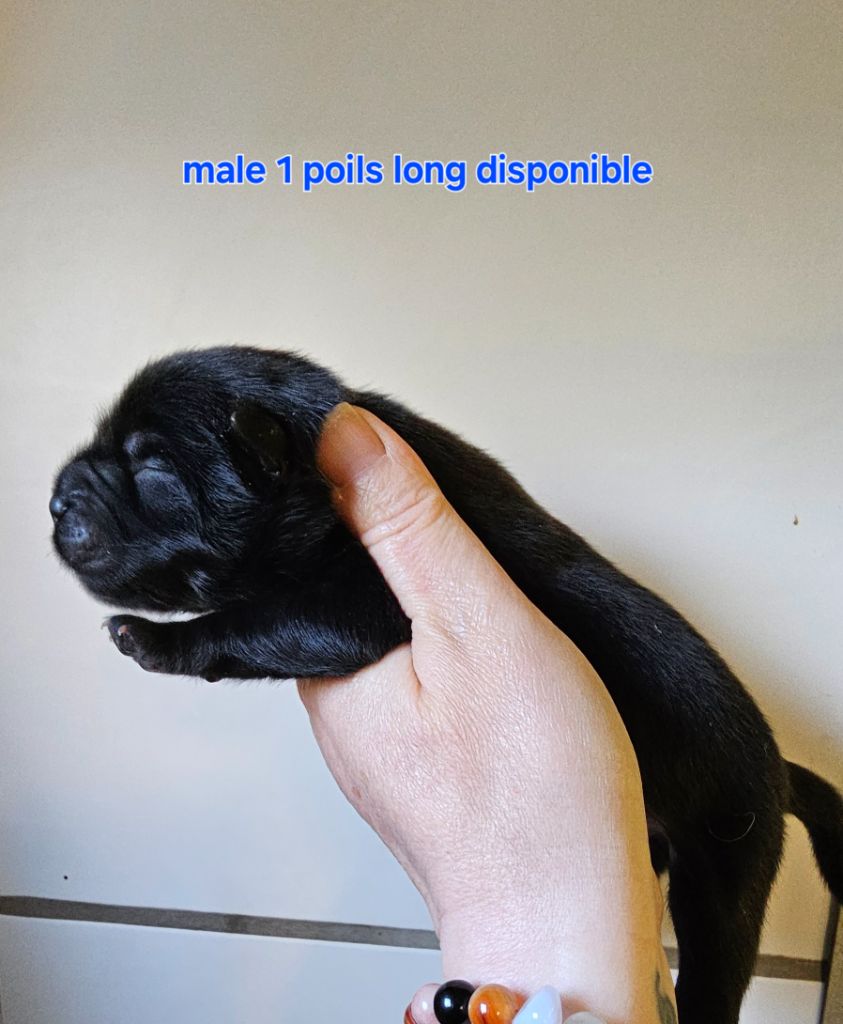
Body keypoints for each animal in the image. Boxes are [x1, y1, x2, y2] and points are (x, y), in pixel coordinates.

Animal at [51, 346, 842, 1023]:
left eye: (152, 473)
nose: (58, 498)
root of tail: (781, 772)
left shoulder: (361, 602)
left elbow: (252, 620)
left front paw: (157, 640)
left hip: (728, 867)